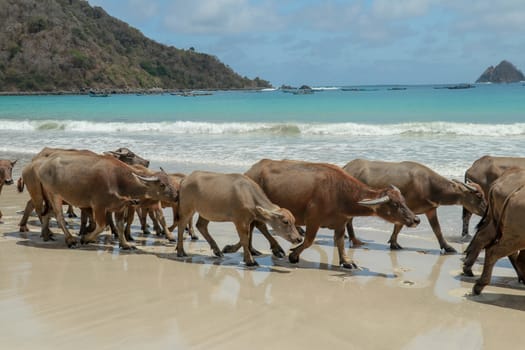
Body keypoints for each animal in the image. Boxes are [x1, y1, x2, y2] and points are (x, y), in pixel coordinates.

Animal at [244, 159, 420, 268]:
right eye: (395, 204)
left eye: (404, 200)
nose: (416, 219)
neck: (340, 193)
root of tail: (250, 172)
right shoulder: (313, 220)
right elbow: (308, 241)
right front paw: (293, 255)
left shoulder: (341, 223)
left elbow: (340, 242)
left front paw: (346, 261)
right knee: (258, 225)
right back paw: (273, 249)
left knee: (252, 226)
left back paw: (253, 250)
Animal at [342, 160, 486, 253]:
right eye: (479, 195)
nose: (486, 210)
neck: (428, 185)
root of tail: (346, 167)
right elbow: (399, 226)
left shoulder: (430, 210)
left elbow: (437, 230)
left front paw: (447, 247)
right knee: (349, 220)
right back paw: (353, 239)